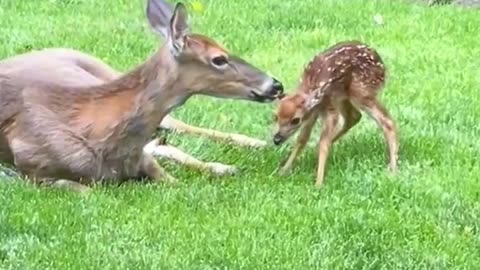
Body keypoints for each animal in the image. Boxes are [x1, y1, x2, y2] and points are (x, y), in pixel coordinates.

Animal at [0, 0, 284, 193]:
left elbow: (171, 177)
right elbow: (86, 190)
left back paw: (243, 152)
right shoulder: (34, 170)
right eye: (219, 59)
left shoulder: (144, 161)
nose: (276, 85)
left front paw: (222, 168)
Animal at [272, 40, 400, 186]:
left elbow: (323, 143)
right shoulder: (313, 112)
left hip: (361, 92)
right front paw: (283, 170)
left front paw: (318, 183)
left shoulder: (329, 109)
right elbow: (302, 140)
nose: (277, 139)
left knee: (386, 120)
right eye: (276, 117)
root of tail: (382, 67)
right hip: (344, 96)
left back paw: (393, 168)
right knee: (354, 116)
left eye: (295, 120)